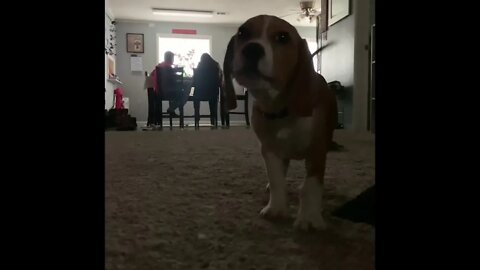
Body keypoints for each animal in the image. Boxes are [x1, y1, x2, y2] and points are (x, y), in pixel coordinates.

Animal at [223, 14, 336, 230]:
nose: (252, 49)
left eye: (283, 37)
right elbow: (276, 179)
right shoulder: (269, 149)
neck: (281, 110)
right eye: (242, 32)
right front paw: (276, 208)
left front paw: (309, 217)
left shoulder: (317, 150)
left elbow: (310, 186)